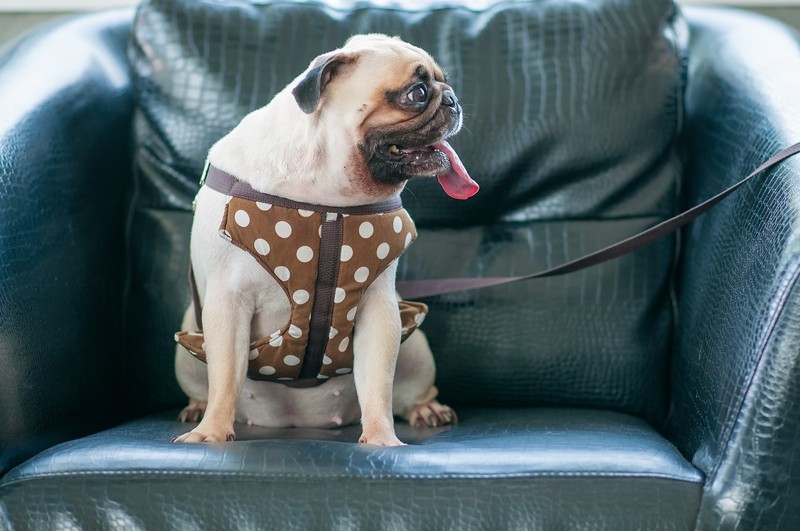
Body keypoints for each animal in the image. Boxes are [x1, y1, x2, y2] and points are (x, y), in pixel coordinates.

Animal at [173, 33, 478, 446]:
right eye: (416, 93)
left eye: (445, 84)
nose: (453, 99)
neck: (327, 195)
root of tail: (296, 419)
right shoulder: (228, 303)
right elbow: (223, 378)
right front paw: (212, 433)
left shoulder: (379, 309)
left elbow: (377, 383)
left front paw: (382, 439)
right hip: (189, 343)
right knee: (207, 383)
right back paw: (196, 409)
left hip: (414, 347)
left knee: (408, 389)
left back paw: (427, 409)